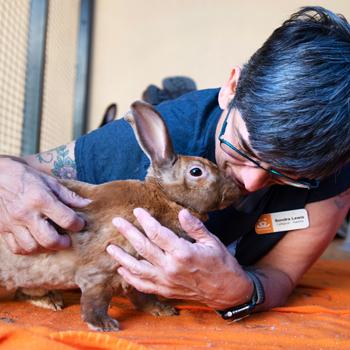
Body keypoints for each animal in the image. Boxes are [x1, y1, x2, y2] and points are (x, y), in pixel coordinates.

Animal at [0, 100, 241, 330]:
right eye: (196, 171)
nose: (235, 189)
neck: (164, 198)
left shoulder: (136, 273)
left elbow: (142, 296)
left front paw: (163, 310)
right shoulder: (103, 268)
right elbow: (96, 299)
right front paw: (103, 325)